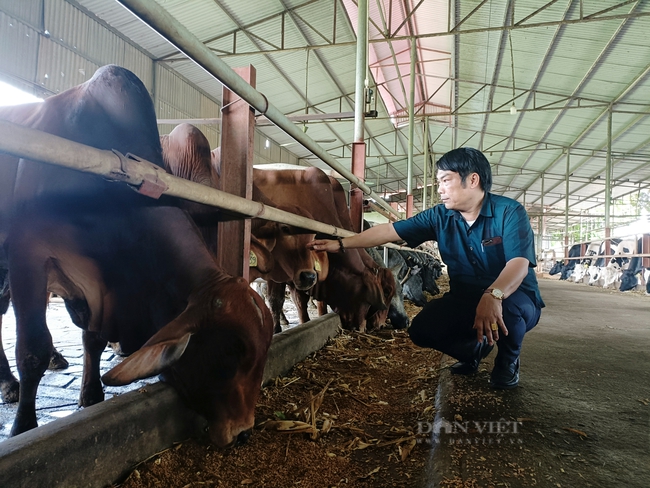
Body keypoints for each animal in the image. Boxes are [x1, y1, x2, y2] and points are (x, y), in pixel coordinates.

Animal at [0, 66, 272, 446]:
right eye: (230, 353)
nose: (244, 431)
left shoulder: (98, 287)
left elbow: (94, 338)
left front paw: (92, 395)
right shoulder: (29, 254)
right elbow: (32, 349)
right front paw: (23, 427)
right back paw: (11, 385)